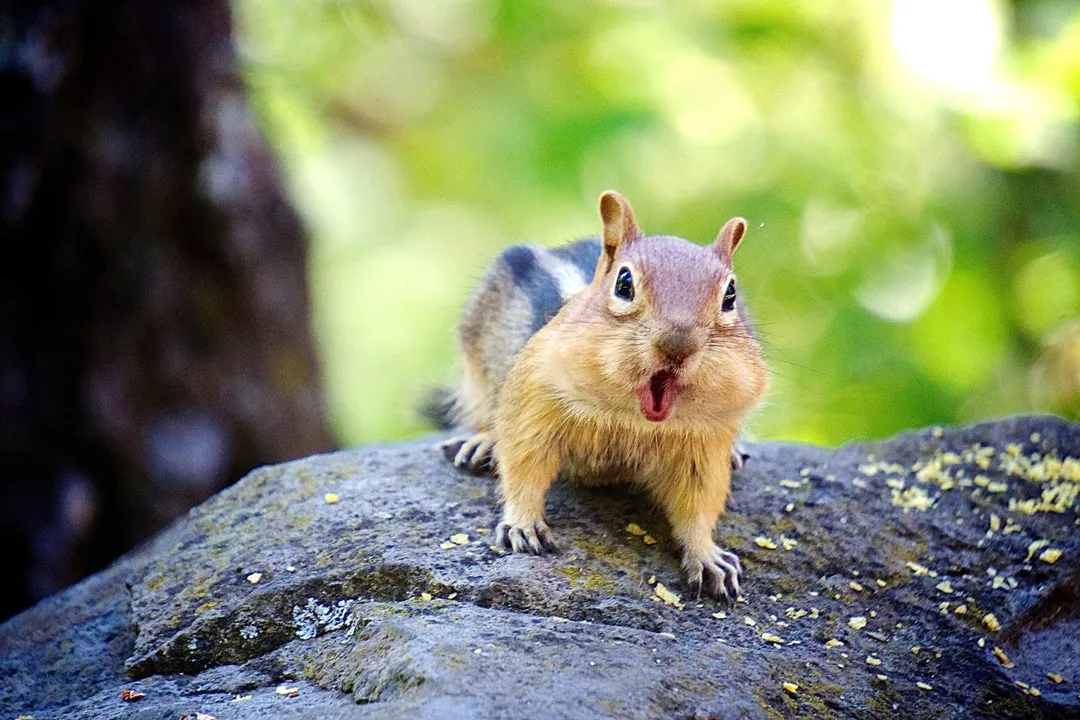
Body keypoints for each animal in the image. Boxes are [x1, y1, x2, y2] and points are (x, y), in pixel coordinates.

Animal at [429, 190, 769, 601]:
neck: (631, 416)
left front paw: (708, 556)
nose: (678, 344)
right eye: (624, 283)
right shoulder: (535, 401)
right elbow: (523, 465)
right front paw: (523, 523)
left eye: (730, 295)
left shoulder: (703, 447)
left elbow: (698, 505)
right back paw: (481, 440)